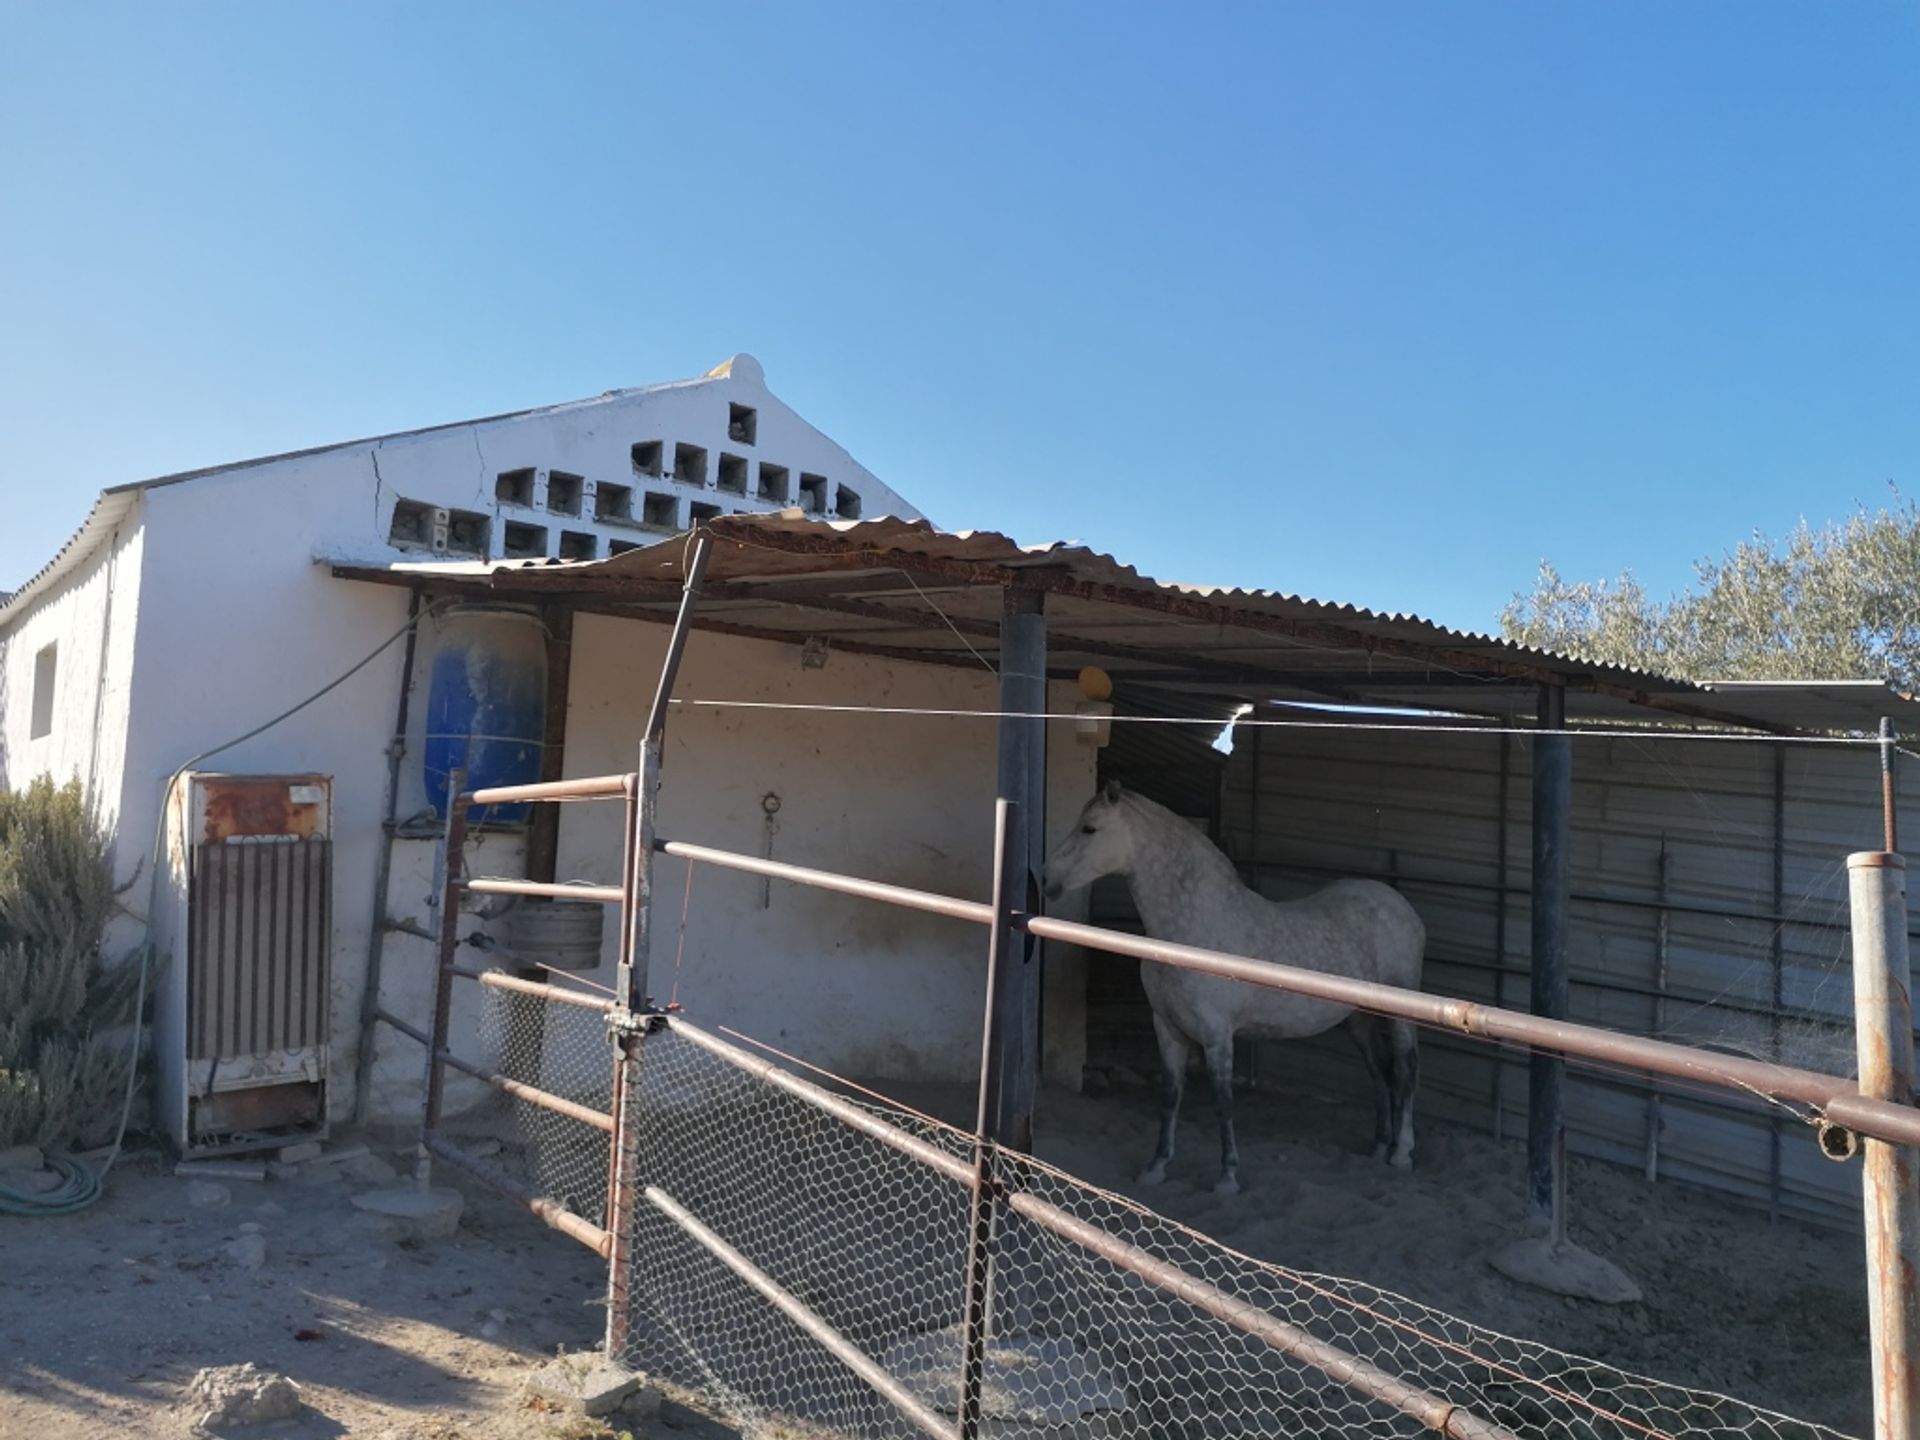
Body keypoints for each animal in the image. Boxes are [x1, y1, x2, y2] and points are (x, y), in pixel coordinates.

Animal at [1036, 783, 1428, 1198]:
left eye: (1089, 829)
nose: (1044, 878)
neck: (1190, 932)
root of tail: (1401, 907)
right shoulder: (1167, 1029)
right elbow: (1170, 1096)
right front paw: (1156, 1167)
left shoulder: (1217, 1035)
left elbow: (1223, 1102)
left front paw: (1227, 1177)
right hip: (1358, 1019)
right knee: (1379, 1070)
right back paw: (1379, 1146)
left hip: (1402, 1015)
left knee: (1405, 1070)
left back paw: (1401, 1153)